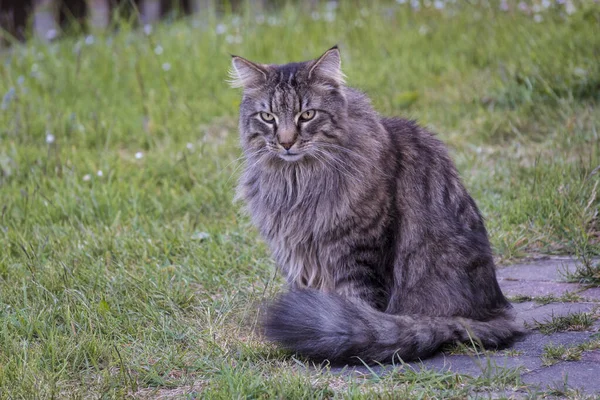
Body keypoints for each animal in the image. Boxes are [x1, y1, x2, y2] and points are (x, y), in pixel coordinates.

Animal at [232, 46, 524, 362]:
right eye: (268, 117)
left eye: (307, 115)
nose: (286, 143)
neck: (297, 182)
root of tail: (496, 311)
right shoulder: (295, 253)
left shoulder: (359, 248)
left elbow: (357, 308)